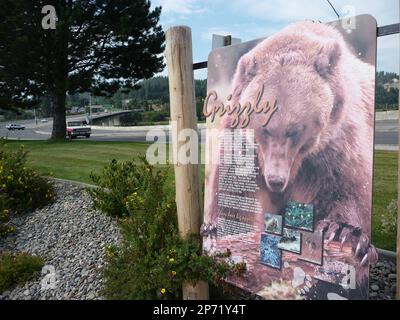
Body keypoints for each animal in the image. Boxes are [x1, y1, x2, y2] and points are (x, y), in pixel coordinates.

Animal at [205, 20, 376, 290]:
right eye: (264, 127)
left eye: (295, 130)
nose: (276, 180)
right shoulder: (242, 142)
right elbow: (233, 186)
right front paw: (214, 228)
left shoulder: (337, 141)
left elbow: (348, 184)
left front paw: (342, 231)